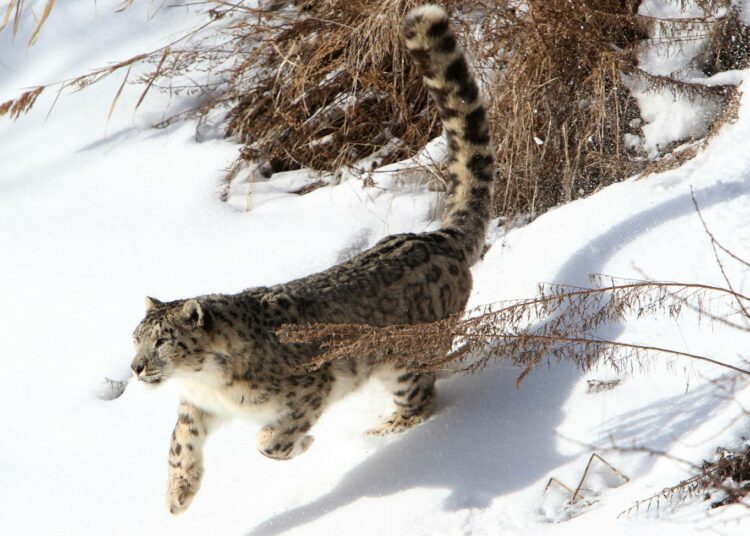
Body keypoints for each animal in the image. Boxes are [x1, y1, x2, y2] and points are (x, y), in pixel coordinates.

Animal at [131, 5, 494, 516]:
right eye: (135, 338)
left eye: (162, 341)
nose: (136, 368)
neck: (210, 383)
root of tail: (435, 238)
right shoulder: (196, 405)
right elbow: (179, 440)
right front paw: (178, 494)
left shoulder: (310, 386)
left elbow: (270, 439)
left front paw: (300, 444)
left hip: (404, 357)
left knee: (421, 397)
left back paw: (380, 431)